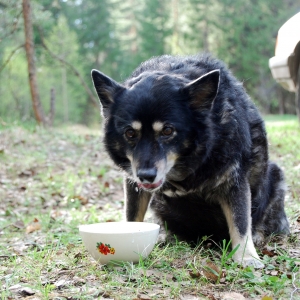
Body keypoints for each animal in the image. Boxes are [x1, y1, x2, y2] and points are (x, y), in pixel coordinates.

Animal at [90, 53, 290, 268]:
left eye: (167, 130)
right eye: (130, 133)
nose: (146, 176)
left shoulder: (235, 182)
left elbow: (241, 223)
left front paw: (246, 257)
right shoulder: (134, 183)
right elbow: (132, 216)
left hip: (276, 177)